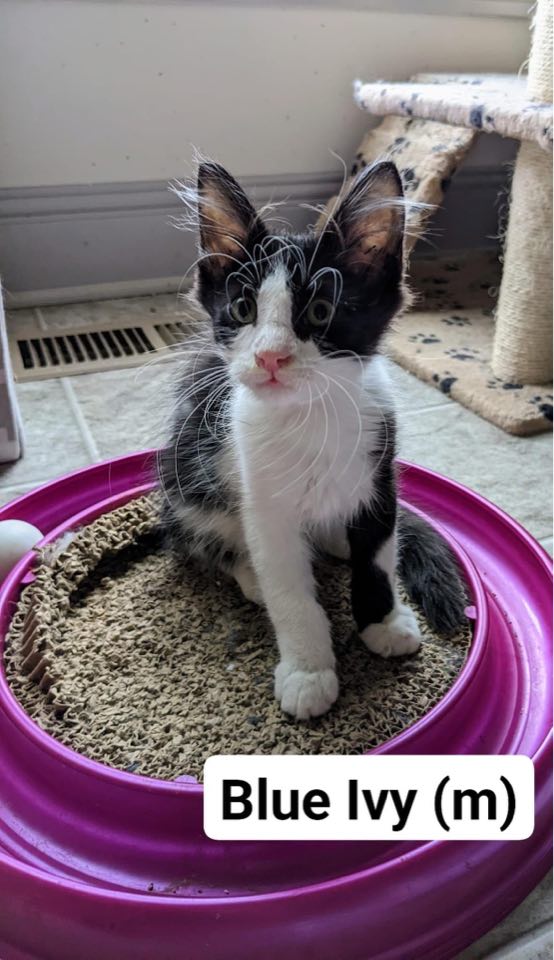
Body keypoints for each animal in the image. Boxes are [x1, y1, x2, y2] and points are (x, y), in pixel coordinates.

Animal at [158, 159, 467, 720]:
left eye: (322, 312)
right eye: (243, 310)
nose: (270, 356)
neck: (311, 415)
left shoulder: (379, 473)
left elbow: (376, 556)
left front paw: (383, 621)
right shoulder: (263, 500)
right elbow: (289, 591)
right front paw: (308, 672)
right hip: (187, 484)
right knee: (205, 541)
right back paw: (249, 573)